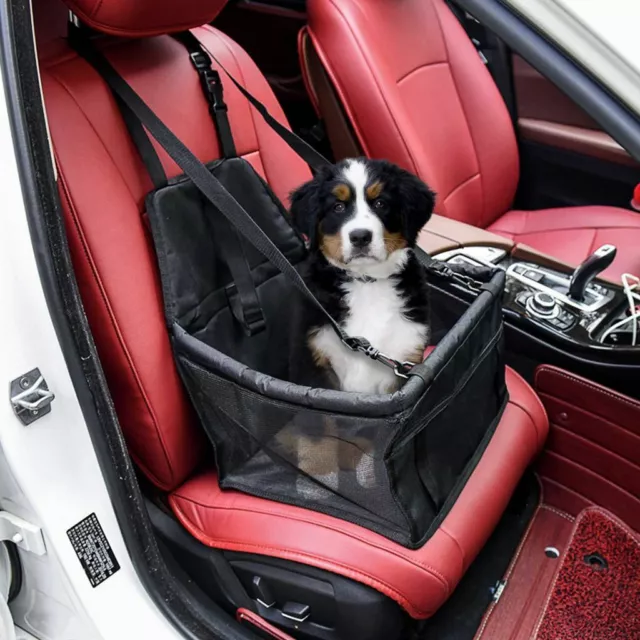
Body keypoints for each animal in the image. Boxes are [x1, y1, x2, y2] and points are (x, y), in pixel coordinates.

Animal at [290, 157, 436, 392]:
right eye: (338, 207)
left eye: (380, 204)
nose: (360, 236)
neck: (367, 282)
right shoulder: (316, 361)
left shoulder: (405, 357)